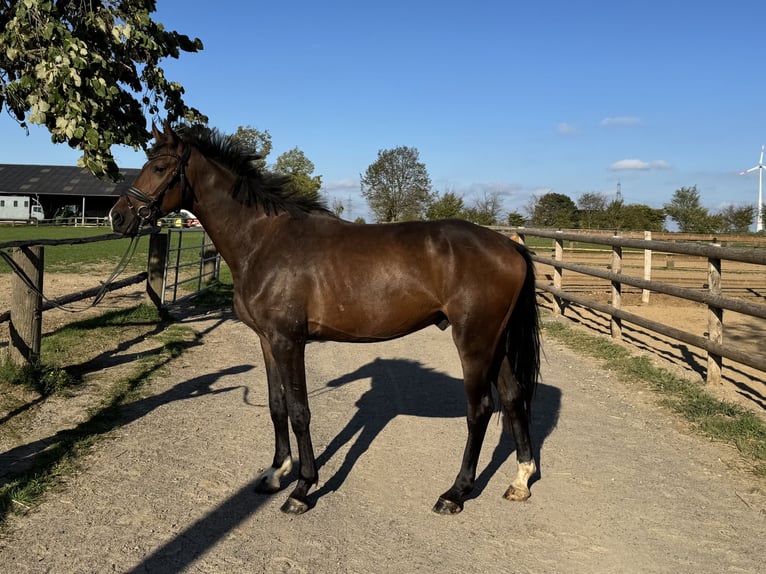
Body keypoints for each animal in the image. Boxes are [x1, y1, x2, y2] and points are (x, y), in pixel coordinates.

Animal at [109, 122, 542, 515]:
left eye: (160, 167)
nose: (118, 218)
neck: (263, 241)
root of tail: (509, 246)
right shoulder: (266, 340)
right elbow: (277, 405)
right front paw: (275, 474)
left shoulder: (289, 341)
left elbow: (300, 412)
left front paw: (302, 489)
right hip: (497, 343)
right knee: (513, 397)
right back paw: (520, 480)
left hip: (474, 343)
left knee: (480, 410)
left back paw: (455, 493)